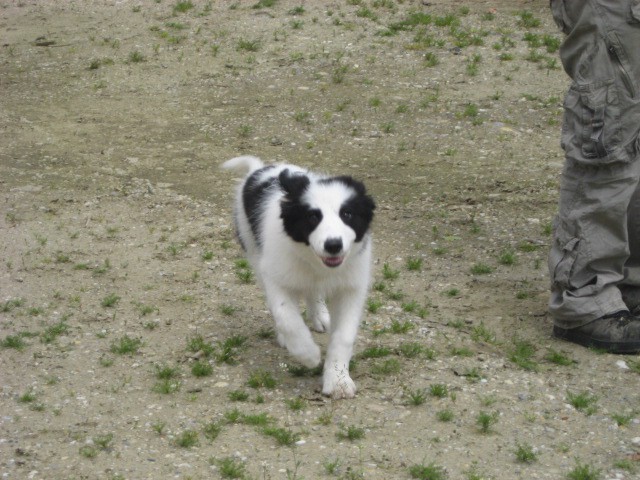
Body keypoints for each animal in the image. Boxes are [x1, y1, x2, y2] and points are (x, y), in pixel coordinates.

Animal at [224, 156, 378, 400]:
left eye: (347, 214)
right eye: (313, 217)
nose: (333, 245)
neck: (317, 263)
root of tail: (259, 169)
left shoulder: (351, 288)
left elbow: (344, 336)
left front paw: (338, 380)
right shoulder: (275, 274)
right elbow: (287, 317)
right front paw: (308, 354)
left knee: (313, 292)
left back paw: (321, 317)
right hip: (253, 249)